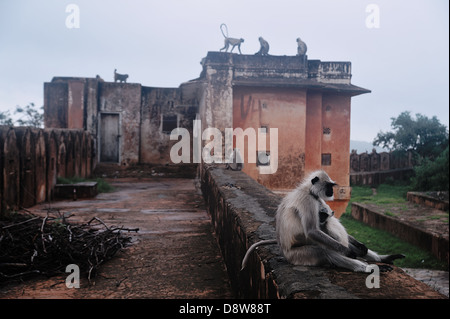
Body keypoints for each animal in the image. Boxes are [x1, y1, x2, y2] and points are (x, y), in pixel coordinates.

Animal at [241, 171, 406, 274]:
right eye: (329, 186)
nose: (332, 192)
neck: (308, 190)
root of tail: (284, 250)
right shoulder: (308, 201)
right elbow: (312, 231)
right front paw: (349, 251)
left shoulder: (317, 200)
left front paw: (359, 246)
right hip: (297, 256)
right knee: (324, 250)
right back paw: (367, 268)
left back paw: (383, 259)